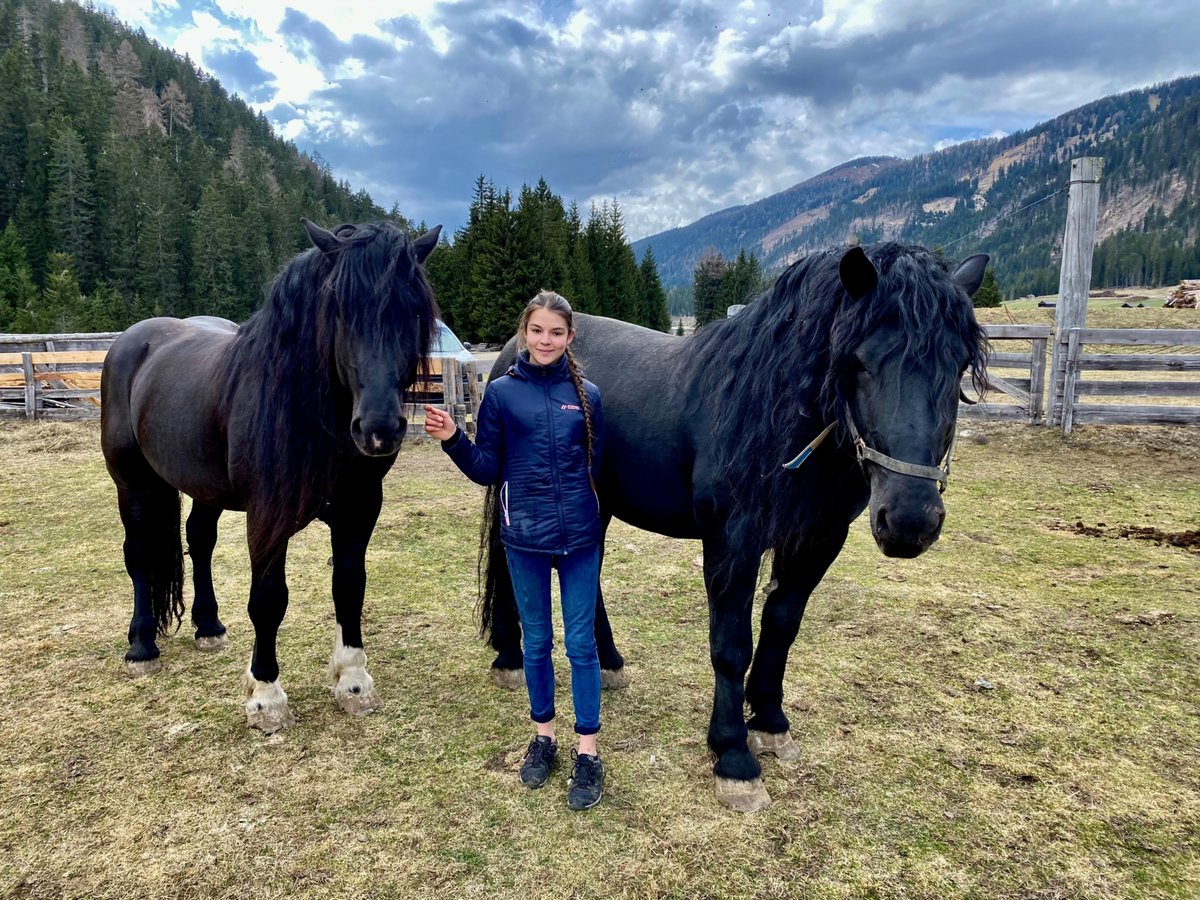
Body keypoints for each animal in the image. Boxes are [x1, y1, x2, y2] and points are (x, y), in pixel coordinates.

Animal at [103, 218, 441, 734]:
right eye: (338, 310)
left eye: (413, 309)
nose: (379, 428)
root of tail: (131, 341)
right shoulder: (266, 516)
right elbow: (268, 598)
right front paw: (265, 695)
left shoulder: (359, 509)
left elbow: (349, 587)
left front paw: (353, 683)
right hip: (133, 483)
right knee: (140, 554)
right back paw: (142, 646)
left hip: (205, 489)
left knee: (199, 540)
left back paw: (208, 627)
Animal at [475, 243, 984, 816]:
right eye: (859, 361)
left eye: (959, 366)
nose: (910, 520)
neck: (772, 414)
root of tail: (514, 350)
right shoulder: (731, 541)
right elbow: (731, 644)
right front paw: (734, 757)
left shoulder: (815, 541)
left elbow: (781, 626)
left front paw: (770, 722)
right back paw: (510, 658)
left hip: (598, 504)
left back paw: (608, 663)